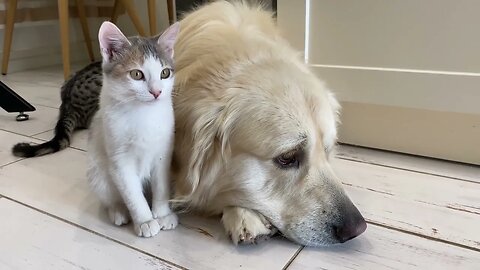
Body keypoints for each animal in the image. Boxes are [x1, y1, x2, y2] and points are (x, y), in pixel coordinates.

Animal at [86, 21, 180, 237]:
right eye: (137, 74)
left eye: (165, 73)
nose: (157, 92)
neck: (144, 115)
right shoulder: (120, 161)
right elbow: (132, 193)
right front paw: (145, 220)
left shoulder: (163, 155)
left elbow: (161, 186)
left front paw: (162, 215)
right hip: (98, 173)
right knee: (110, 196)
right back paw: (118, 211)